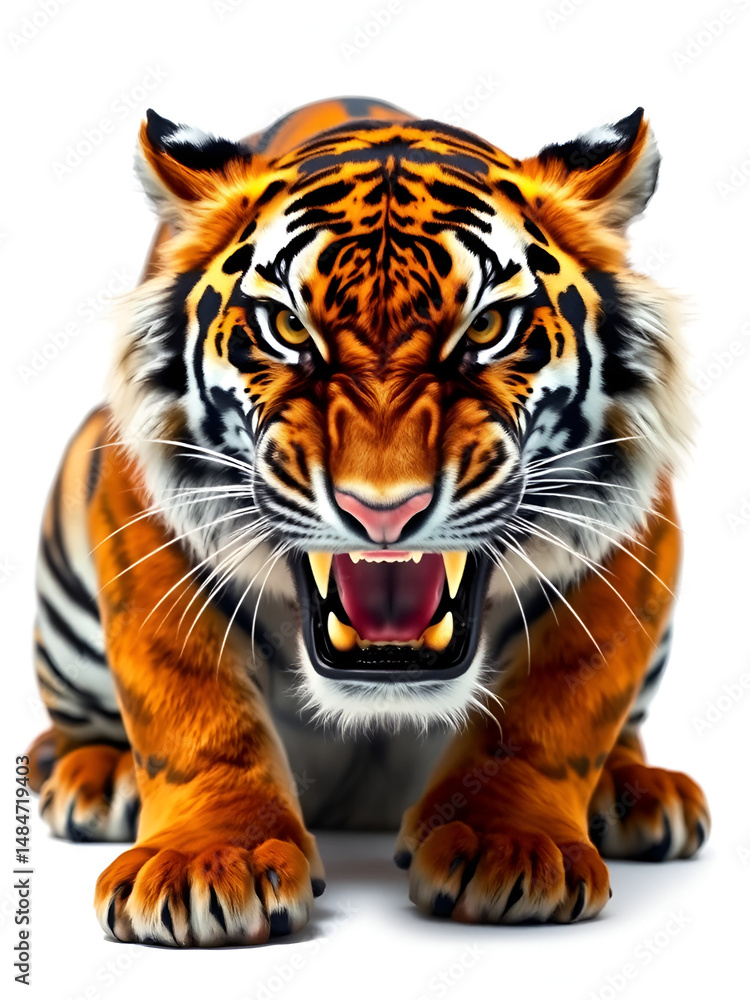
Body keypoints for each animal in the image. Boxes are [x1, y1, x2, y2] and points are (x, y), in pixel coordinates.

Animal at [27, 95, 709, 945]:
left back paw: (641, 791)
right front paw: (209, 859)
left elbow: (557, 710)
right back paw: (98, 775)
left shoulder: (634, 530)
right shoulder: (143, 512)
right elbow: (192, 712)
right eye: (287, 329)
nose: (383, 508)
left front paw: (508, 843)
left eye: (488, 330)